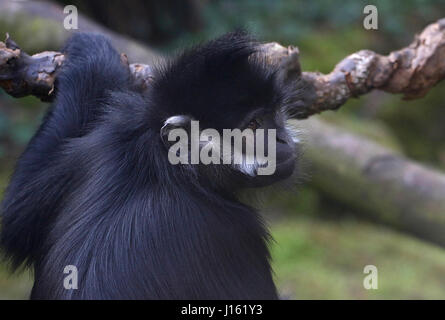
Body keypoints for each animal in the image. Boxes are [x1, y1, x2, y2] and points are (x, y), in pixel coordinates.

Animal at [0, 31, 302, 298]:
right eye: (254, 125)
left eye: (275, 113)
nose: (282, 139)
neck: (164, 168)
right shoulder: (234, 231)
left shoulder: (107, 142)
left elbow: (14, 220)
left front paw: (91, 53)